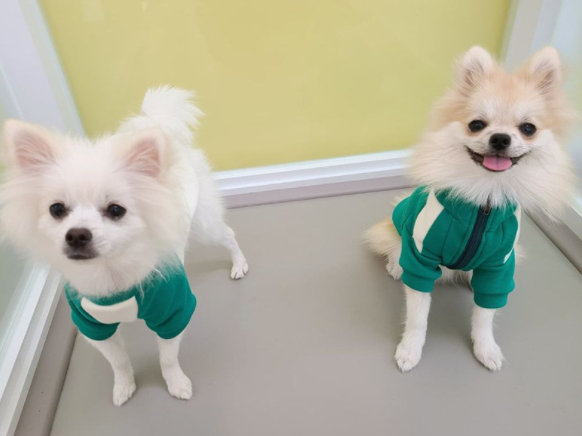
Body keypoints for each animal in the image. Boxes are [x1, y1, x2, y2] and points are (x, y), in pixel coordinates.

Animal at [0, 86, 248, 405]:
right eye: (57, 209)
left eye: (116, 210)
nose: (76, 234)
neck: (112, 272)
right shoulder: (92, 325)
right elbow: (118, 361)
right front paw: (124, 386)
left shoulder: (173, 313)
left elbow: (168, 358)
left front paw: (176, 383)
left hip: (205, 224)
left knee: (227, 234)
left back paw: (239, 264)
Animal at [365, 46, 577, 372]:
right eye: (476, 124)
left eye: (528, 129)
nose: (500, 138)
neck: (484, 199)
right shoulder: (422, 257)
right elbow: (417, 316)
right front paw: (410, 349)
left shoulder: (498, 266)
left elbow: (484, 318)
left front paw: (486, 349)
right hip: (397, 232)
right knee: (394, 247)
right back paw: (396, 266)